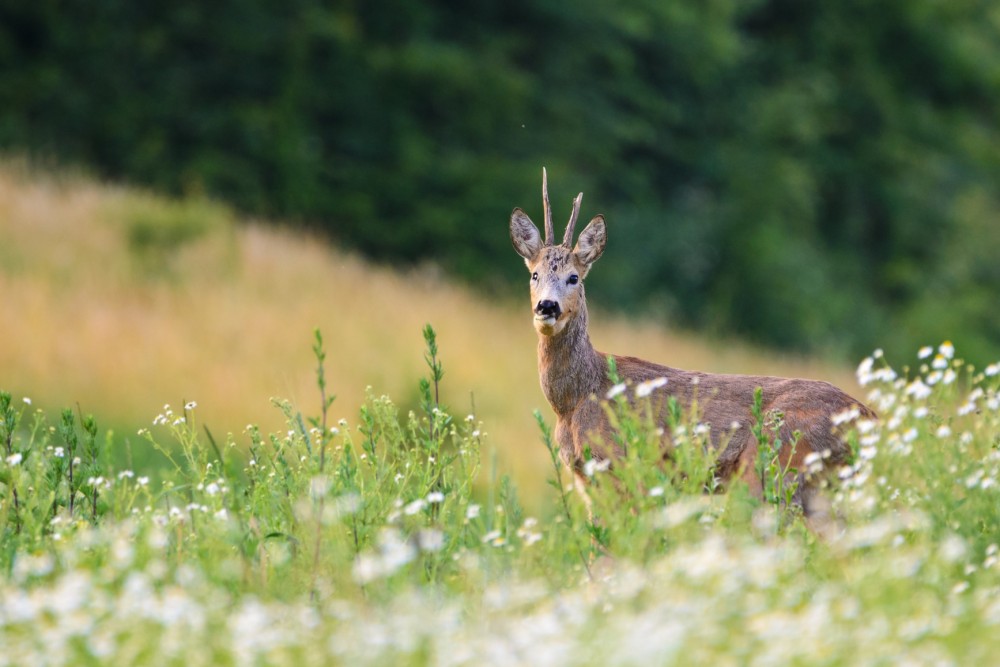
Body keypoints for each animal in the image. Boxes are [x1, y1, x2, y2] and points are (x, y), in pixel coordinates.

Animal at [508, 168, 876, 516]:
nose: (547, 306)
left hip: (774, 469)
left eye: (574, 277)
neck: (576, 398)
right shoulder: (587, 479)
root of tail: (868, 416)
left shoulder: (623, 466)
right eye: (534, 274)